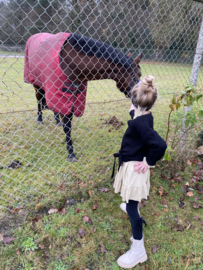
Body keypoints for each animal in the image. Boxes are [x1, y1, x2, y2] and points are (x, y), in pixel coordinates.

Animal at [23, 32, 141, 161]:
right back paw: (39, 119)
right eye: (138, 75)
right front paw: (71, 154)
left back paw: (57, 121)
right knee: (39, 101)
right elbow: (67, 127)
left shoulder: (73, 98)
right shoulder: (63, 96)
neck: (70, 62)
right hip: (36, 85)